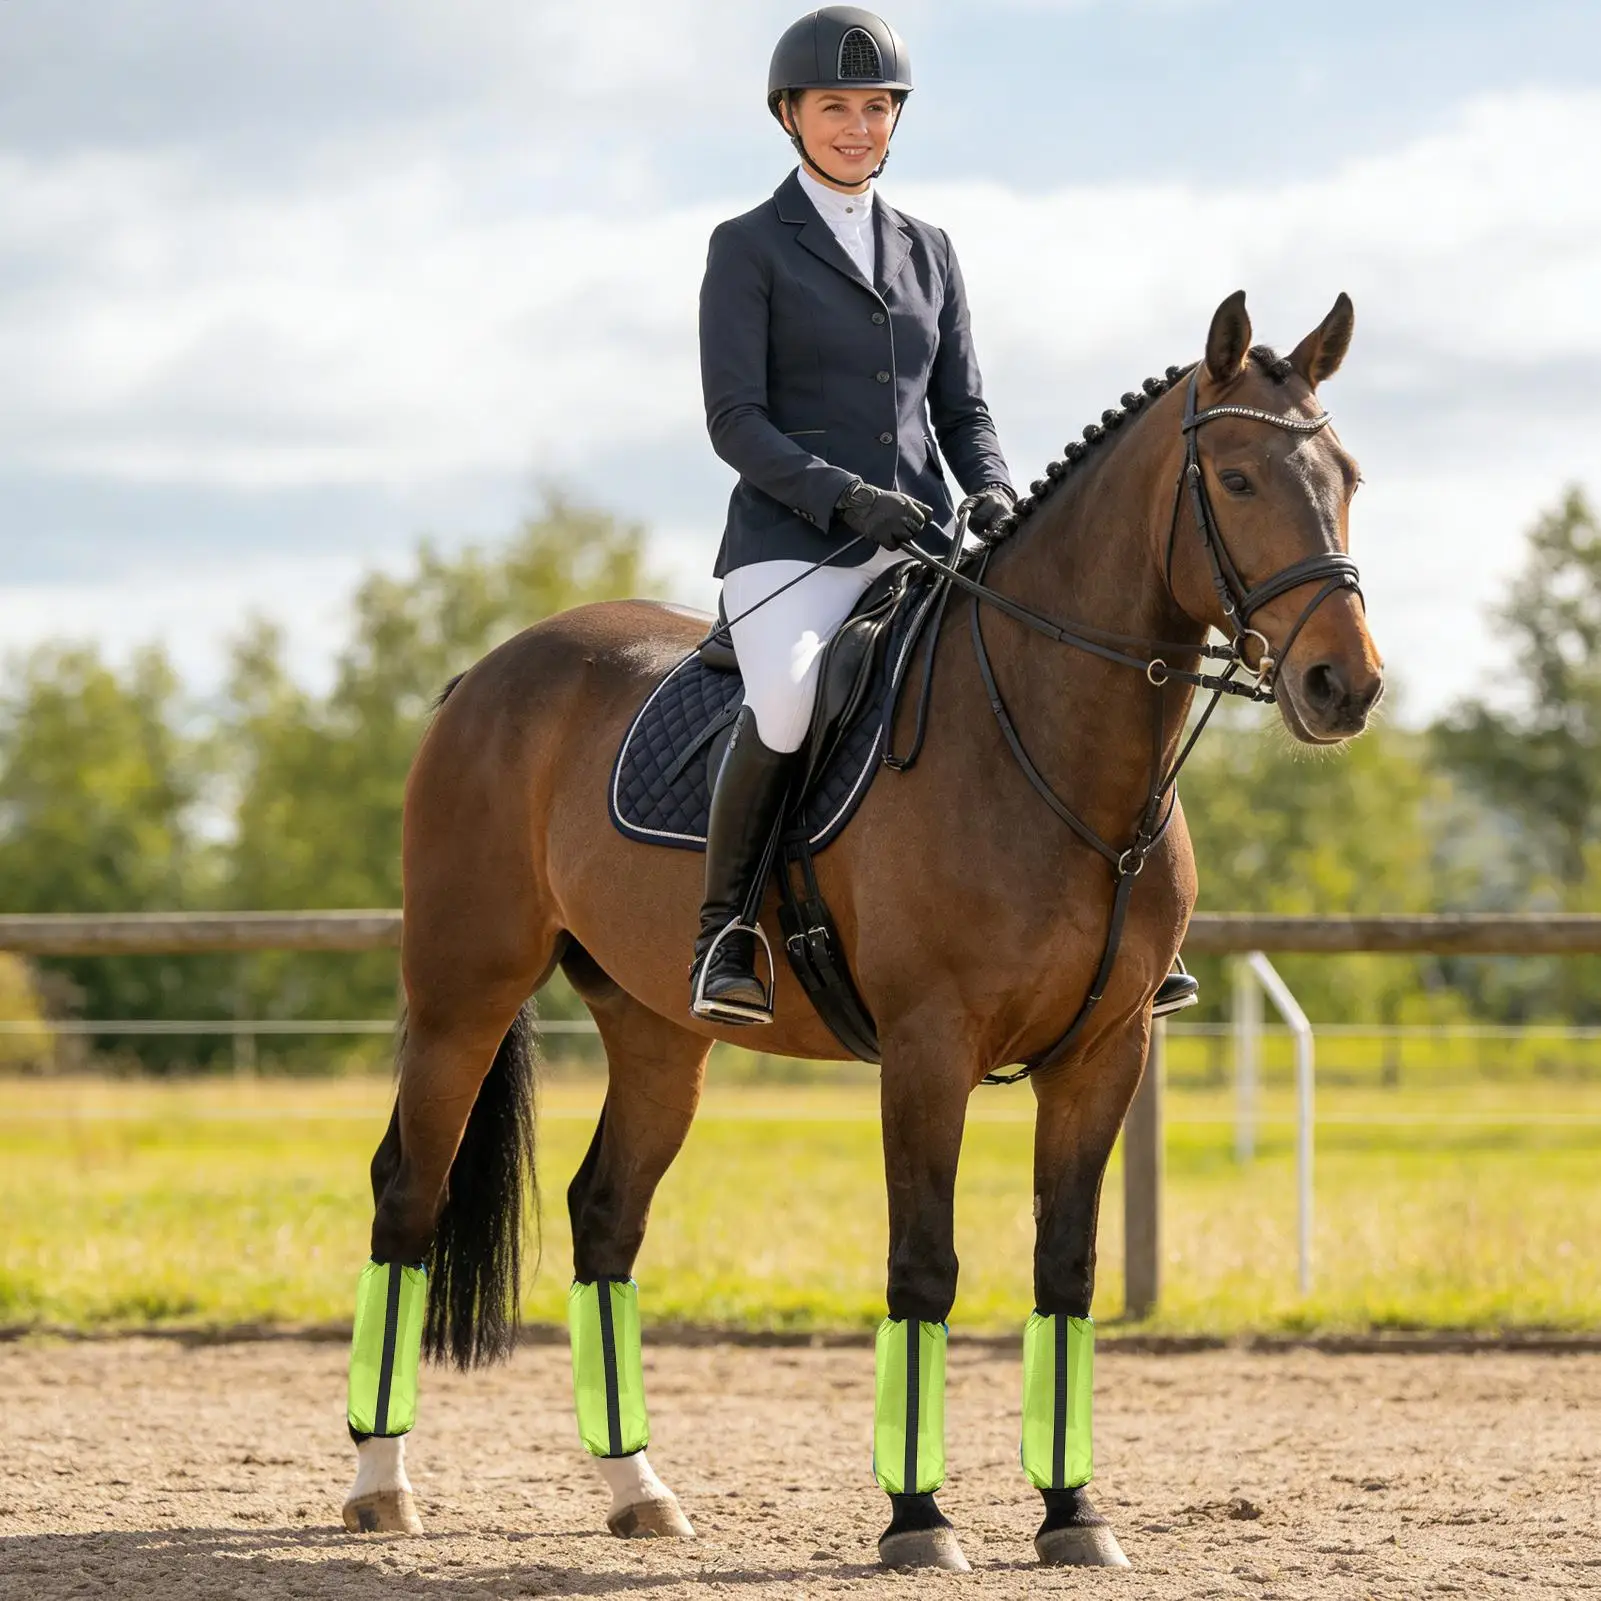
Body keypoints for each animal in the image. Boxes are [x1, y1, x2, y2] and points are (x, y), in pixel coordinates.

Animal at [339, 290, 1384, 1571]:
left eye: (1345, 475)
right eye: (1233, 478)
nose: (1343, 685)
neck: (1047, 746)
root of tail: (484, 672)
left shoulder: (1104, 1053)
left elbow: (1066, 1269)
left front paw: (1072, 1511)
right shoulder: (928, 1048)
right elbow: (923, 1267)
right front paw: (917, 1518)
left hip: (657, 1028)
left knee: (605, 1214)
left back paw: (638, 1488)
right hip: (463, 993)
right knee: (408, 1193)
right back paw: (382, 1483)